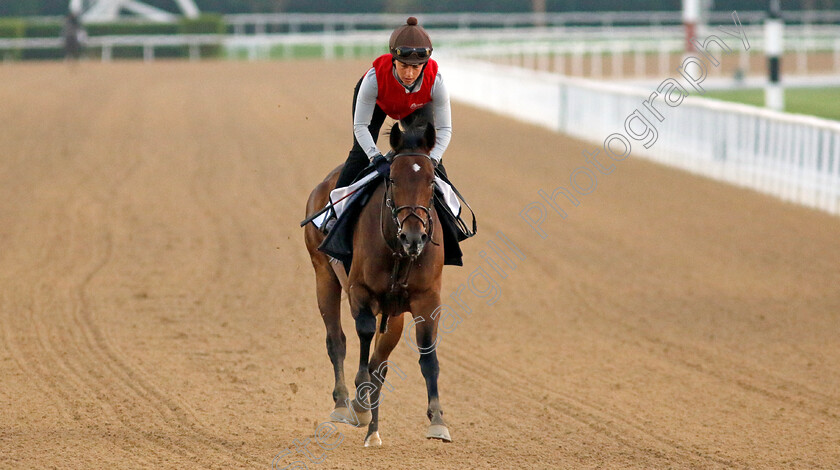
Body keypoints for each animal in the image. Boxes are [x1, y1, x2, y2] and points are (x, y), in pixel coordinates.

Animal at [304, 119, 450, 446]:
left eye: (431, 182)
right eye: (393, 180)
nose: (413, 236)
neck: (398, 250)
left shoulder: (427, 298)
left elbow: (427, 354)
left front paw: (437, 420)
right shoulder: (361, 291)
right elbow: (364, 334)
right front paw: (360, 401)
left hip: (394, 313)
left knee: (380, 360)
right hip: (324, 276)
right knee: (337, 340)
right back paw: (343, 404)